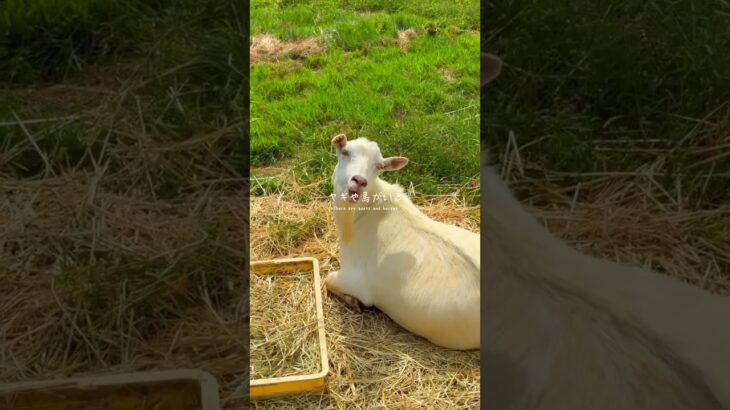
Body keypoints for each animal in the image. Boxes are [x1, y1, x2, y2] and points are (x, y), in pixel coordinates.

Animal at [322, 134, 478, 350]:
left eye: (379, 166)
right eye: (345, 151)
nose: (359, 181)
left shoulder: (358, 281)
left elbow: (328, 279)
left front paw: (353, 302)